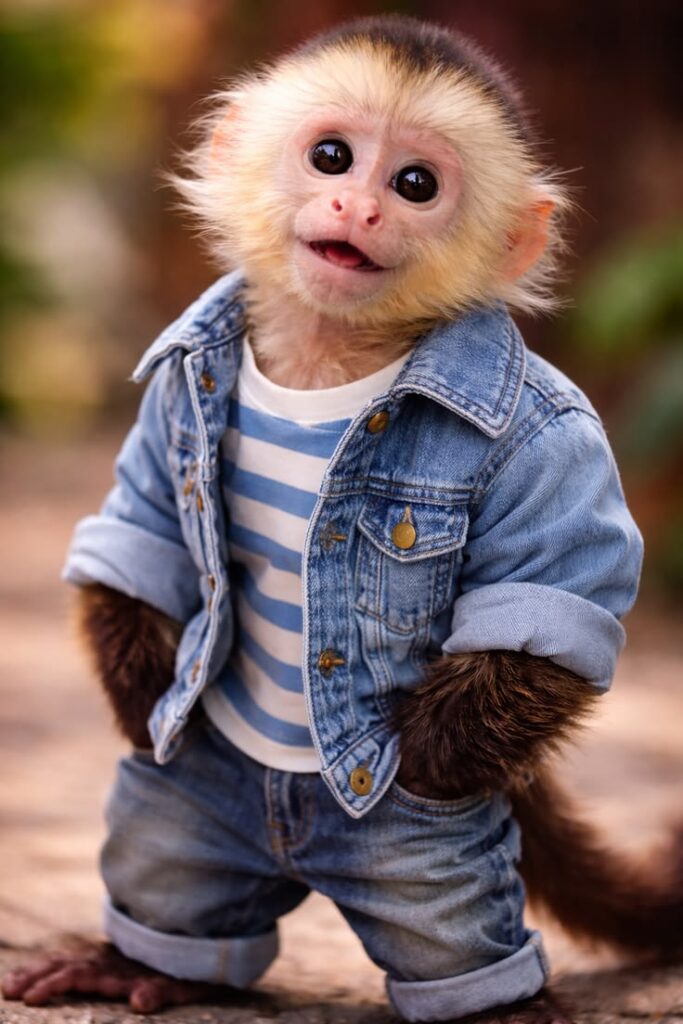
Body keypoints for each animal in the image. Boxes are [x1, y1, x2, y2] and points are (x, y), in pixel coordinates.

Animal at [3, 15, 681, 1024]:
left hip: (421, 866)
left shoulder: (552, 433)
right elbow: (146, 534)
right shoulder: (172, 394)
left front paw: (441, 752)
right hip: (206, 794)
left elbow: (553, 600)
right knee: (171, 855)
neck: (333, 358)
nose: (358, 210)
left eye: (415, 184)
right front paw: (137, 688)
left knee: (443, 929)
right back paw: (145, 959)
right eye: (332, 157)